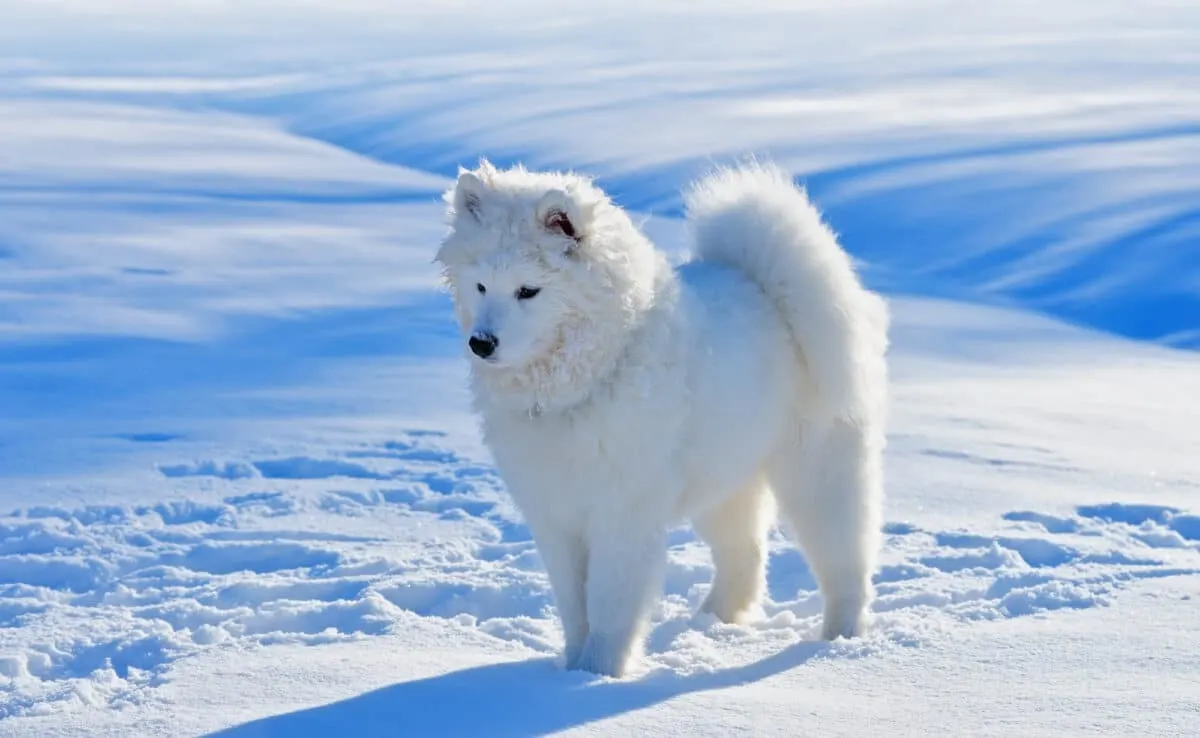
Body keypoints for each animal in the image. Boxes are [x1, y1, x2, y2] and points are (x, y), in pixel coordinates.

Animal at [436, 158, 888, 676]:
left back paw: (838, 643)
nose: (481, 342)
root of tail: (769, 289)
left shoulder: (621, 513)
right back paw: (710, 621)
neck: (590, 374)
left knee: (845, 561)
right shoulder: (556, 515)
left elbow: (608, 605)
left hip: (818, 473)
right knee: (746, 556)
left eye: (528, 290)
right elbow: (574, 605)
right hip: (725, 479)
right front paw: (570, 669)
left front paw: (595, 675)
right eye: (480, 285)